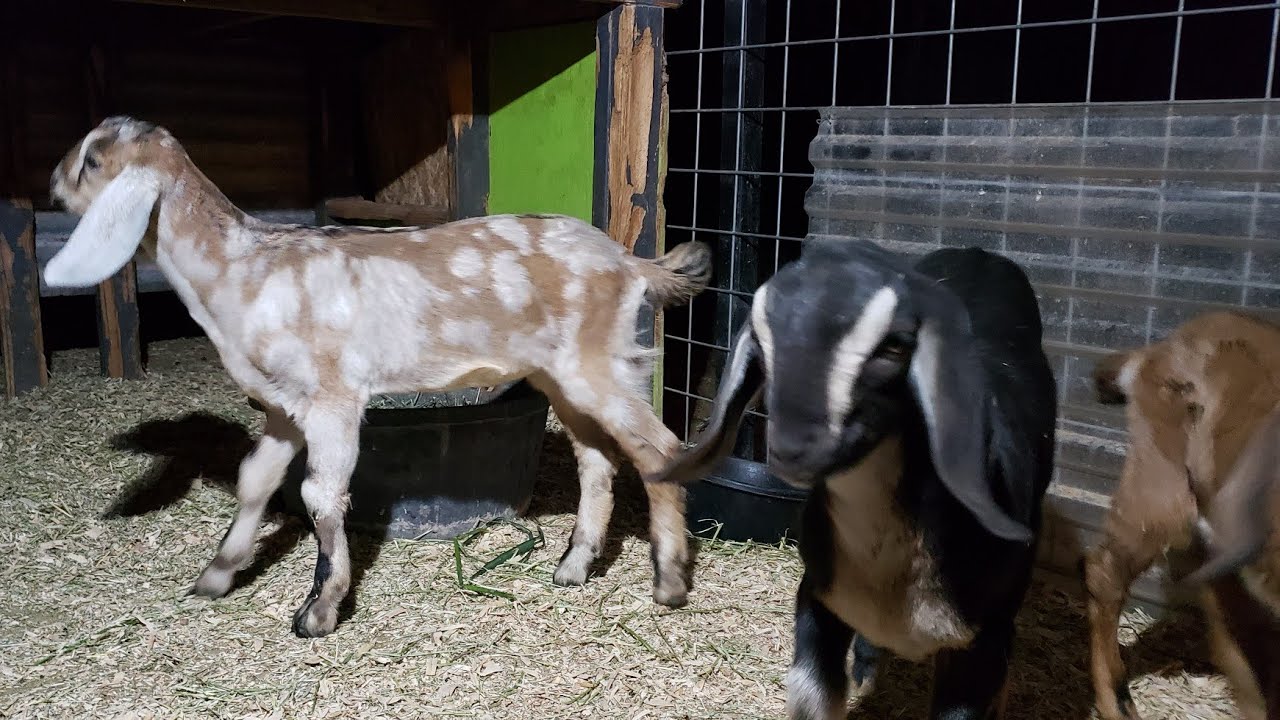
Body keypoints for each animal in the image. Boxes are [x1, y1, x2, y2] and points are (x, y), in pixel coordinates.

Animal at [43, 116, 712, 638]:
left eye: (94, 159)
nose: (51, 187)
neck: (242, 267)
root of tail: (630, 263)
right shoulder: (284, 407)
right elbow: (255, 480)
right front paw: (217, 574)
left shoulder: (333, 397)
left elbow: (320, 496)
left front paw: (319, 610)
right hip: (561, 378)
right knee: (597, 458)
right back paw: (574, 567)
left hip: (600, 363)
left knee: (659, 449)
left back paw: (669, 582)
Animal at [646, 239, 1058, 720]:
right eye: (763, 347)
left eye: (894, 347)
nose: (794, 448)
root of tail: (978, 251)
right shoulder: (818, 599)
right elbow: (813, 699)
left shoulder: (984, 643)